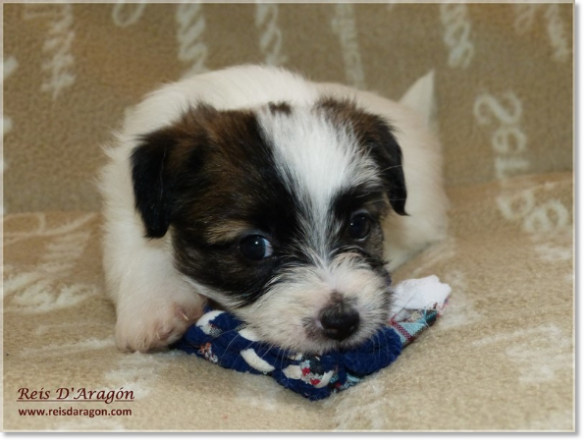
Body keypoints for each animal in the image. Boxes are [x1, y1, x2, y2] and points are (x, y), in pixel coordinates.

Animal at [100, 65, 448, 354]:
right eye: (254, 246)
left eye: (359, 225)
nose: (342, 320)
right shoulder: (124, 201)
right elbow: (139, 246)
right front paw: (152, 309)